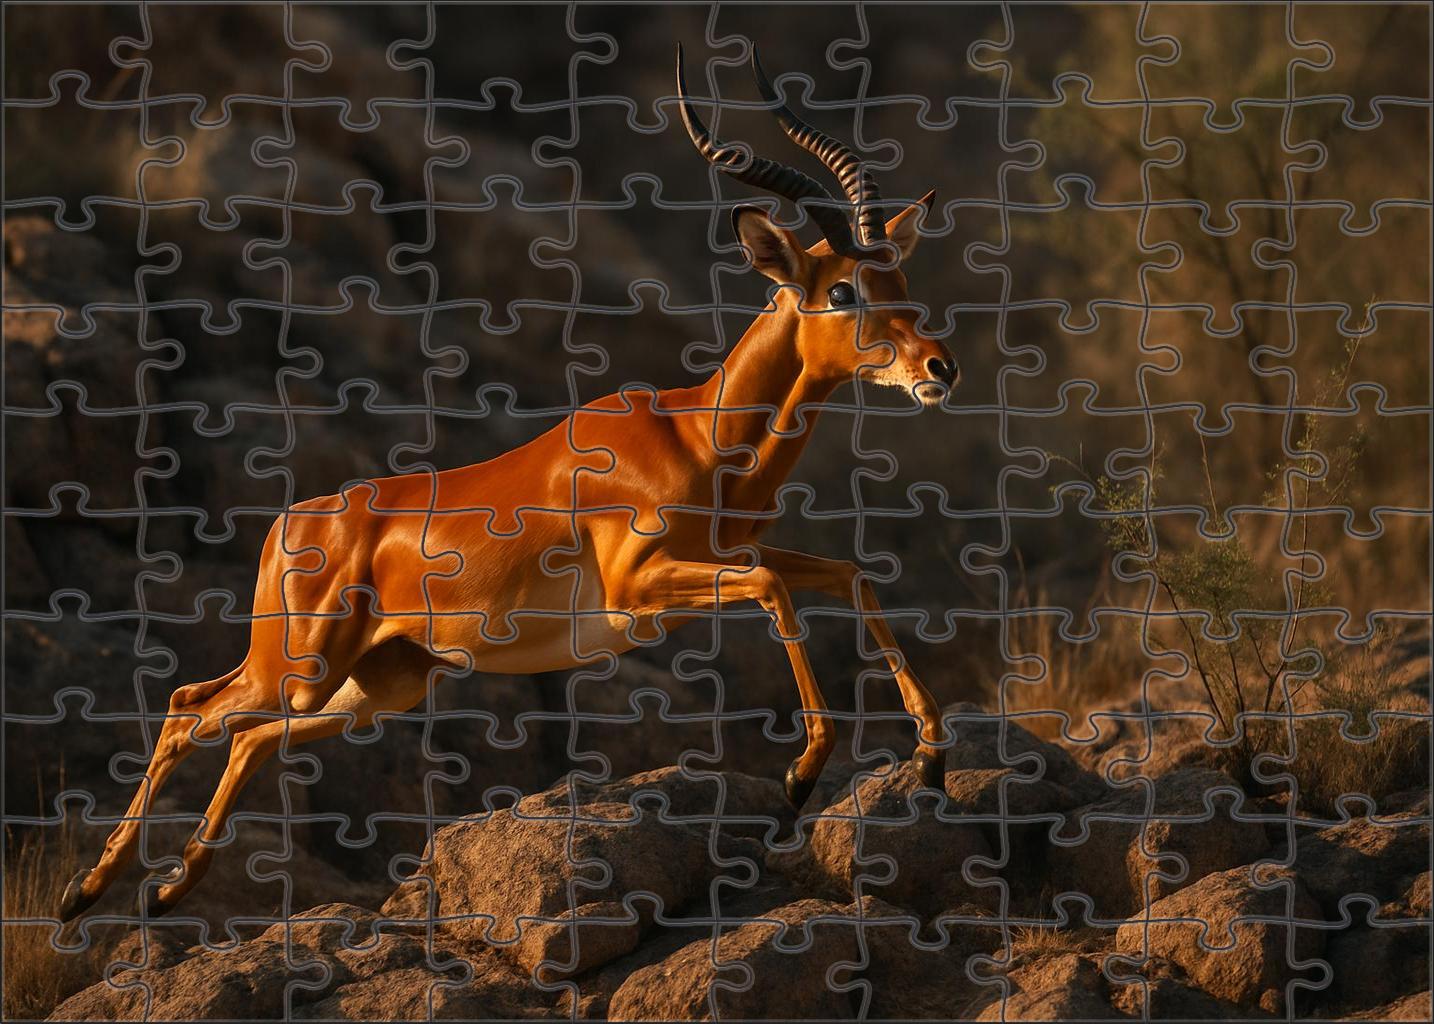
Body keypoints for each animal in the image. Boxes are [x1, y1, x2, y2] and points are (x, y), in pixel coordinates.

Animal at [59, 47, 959, 921]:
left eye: (900, 282)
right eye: (841, 290)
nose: (938, 369)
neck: (701, 433)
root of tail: (295, 522)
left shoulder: (729, 557)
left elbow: (848, 574)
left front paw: (933, 760)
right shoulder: (641, 588)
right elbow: (778, 589)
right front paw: (802, 777)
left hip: (375, 684)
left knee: (244, 736)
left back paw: (165, 890)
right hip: (299, 666)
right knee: (187, 708)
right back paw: (87, 893)